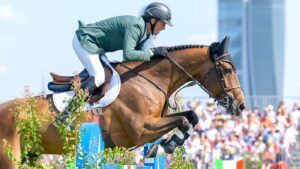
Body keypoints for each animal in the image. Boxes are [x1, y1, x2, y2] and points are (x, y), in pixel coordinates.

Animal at [0, 37, 245, 168]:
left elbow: (190, 116)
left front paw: (162, 146)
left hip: (30, 154)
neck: (149, 79)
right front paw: (166, 145)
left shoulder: (155, 121)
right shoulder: (140, 129)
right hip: (11, 157)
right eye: (227, 70)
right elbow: (184, 120)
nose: (240, 106)